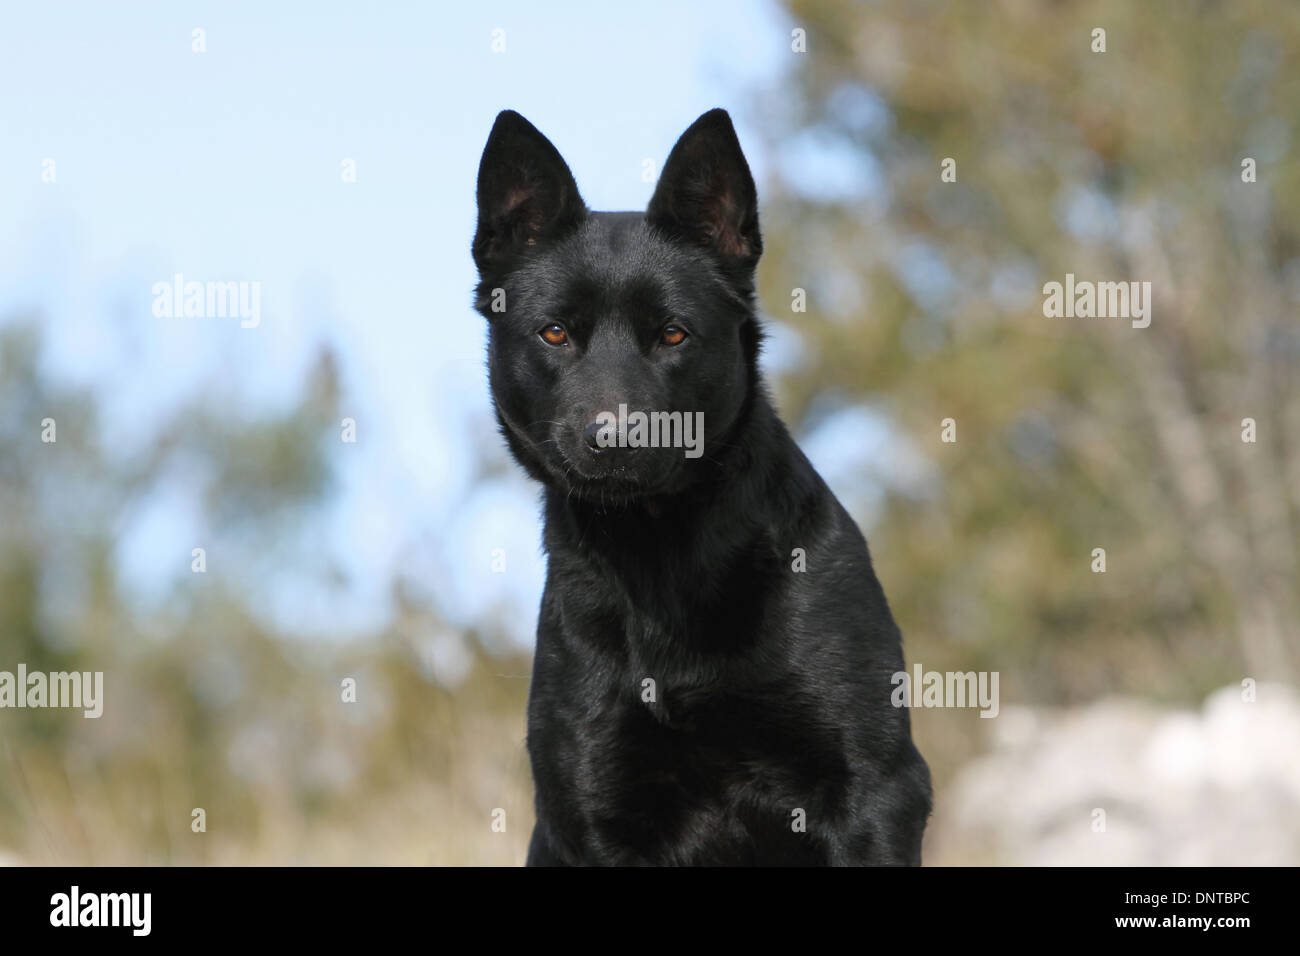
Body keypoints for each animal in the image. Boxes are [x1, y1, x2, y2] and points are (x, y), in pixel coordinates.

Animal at [473, 108, 930, 863]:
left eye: (673, 334)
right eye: (555, 333)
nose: (615, 439)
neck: (661, 555)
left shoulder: (874, 790)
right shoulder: (593, 808)